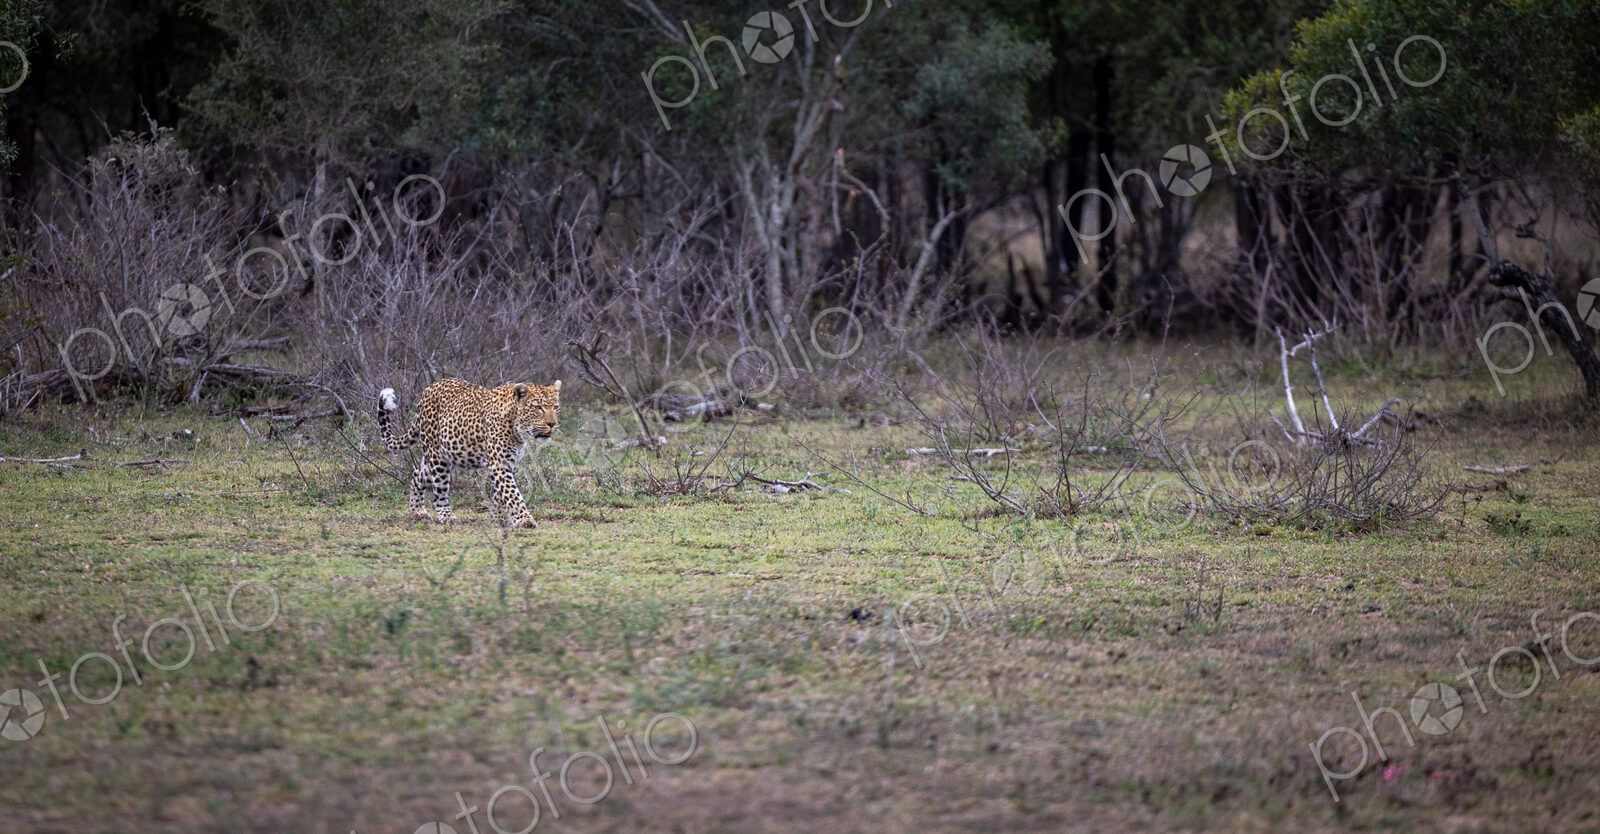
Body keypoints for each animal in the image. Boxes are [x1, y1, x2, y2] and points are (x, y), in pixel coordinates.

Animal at [377, 377, 560, 528]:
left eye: (556, 408)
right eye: (538, 408)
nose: (552, 424)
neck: (518, 429)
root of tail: (427, 390)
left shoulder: (510, 462)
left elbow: (501, 494)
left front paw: (498, 518)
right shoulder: (499, 464)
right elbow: (512, 494)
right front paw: (524, 520)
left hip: (435, 458)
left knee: (417, 474)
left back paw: (418, 512)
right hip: (438, 457)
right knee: (439, 493)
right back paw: (447, 517)